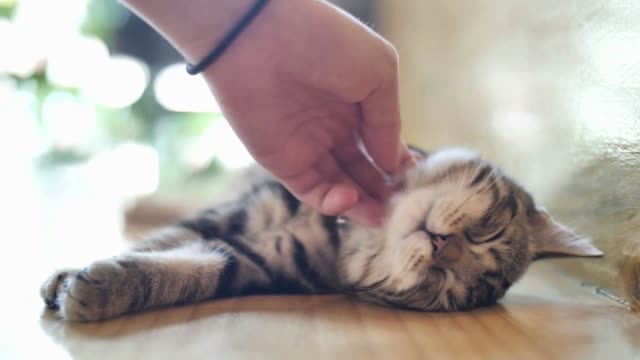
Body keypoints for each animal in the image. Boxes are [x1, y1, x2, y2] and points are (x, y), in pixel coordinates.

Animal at [41, 148, 604, 322]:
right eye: (491, 232)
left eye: (443, 289)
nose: (443, 249)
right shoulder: (232, 211)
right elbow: (156, 241)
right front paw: (69, 275)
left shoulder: (252, 261)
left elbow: (189, 271)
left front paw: (100, 290)